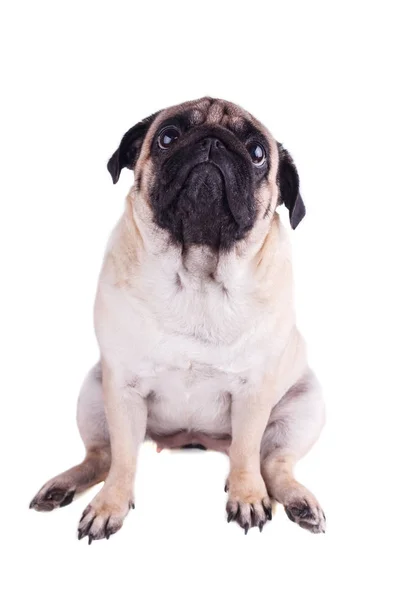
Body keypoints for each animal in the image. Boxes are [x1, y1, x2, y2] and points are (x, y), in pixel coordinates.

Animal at [30, 97, 324, 540]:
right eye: (168, 138)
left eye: (258, 153)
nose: (213, 141)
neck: (198, 274)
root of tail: (197, 439)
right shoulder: (123, 389)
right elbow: (123, 461)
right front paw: (110, 505)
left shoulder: (253, 393)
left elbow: (246, 452)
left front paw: (248, 497)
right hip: (94, 393)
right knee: (102, 456)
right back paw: (62, 487)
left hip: (305, 405)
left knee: (272, 462)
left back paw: (295, 500)